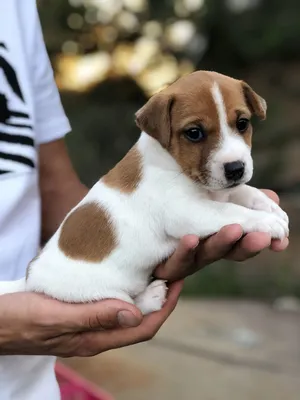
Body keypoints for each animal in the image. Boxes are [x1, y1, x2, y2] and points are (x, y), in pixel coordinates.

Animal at [0, 71, 290, 316]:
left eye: (242, 123)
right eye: (194, 133)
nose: (235, 168)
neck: (174, 163)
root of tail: (29, 278)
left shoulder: (218, 190)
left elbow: (243, 192)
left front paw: (270, 207)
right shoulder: (189, 211)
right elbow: (230, 210)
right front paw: (267, 221)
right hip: (95, 294)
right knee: (130, 305)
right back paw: (150, 297)